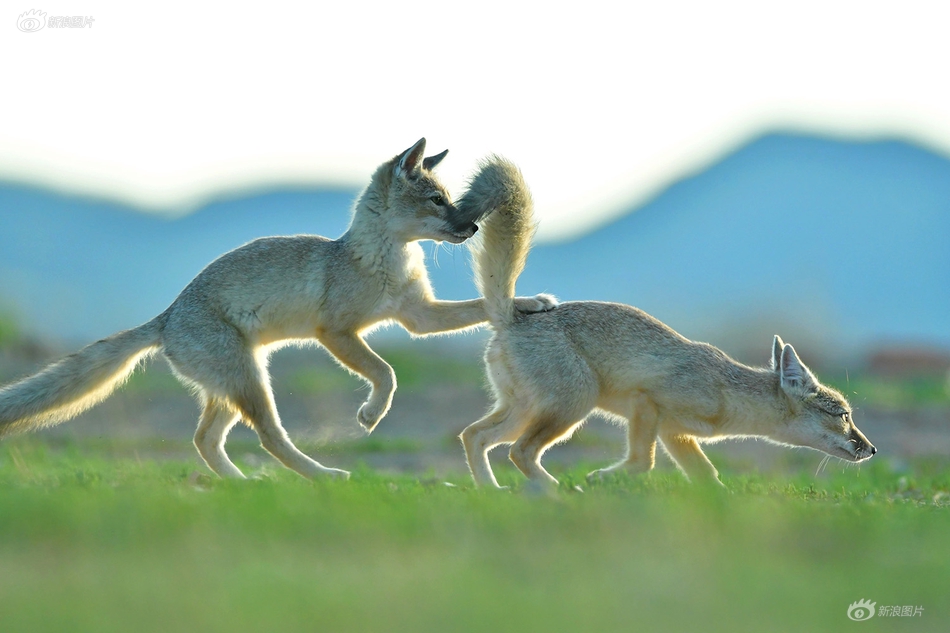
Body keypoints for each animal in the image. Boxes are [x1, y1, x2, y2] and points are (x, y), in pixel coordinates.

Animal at [0, 138, 556, 478]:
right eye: (438, 201)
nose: (473, 226)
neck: (382, 260)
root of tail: (167, 316)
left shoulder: (419, 317)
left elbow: (479, 307)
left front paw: (530, 301)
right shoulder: (336, 332)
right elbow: (387, 373)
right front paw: (372, 413)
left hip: (234, 386)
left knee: (205, 441)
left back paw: (243, 484)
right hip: (251, 383)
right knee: (268, 438)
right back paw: (321, 476)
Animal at [458, 157, 880, 488]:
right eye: (844, 416)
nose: (873, 448)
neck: (727, 393)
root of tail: (510, 313)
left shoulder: (675, 433)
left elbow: (707, 478)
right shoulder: (648, 404)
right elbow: (643, 463)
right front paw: (601, 478)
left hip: (526, 410)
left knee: (473, 436)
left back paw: (491, 492)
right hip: (572, 407)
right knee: (519, 452)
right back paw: (554, 492)